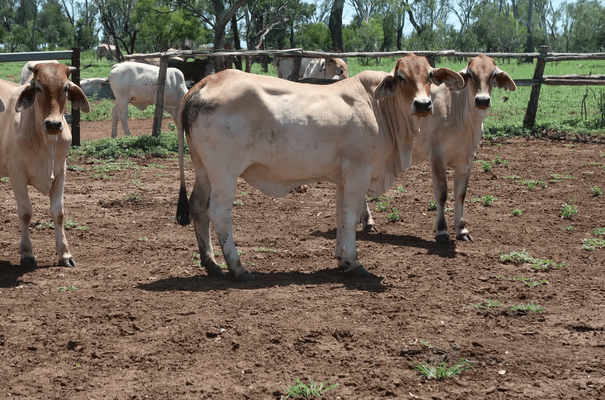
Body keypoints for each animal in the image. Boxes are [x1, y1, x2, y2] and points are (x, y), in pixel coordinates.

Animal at [0, 62, 91, 268]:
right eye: (38, 88)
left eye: (65, 88)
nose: (53, 124)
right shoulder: (16, 173)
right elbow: (26, 212)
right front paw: (27, 254)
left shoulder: (60, 171)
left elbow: (58, 212)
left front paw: (65, 255)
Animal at [175, 53, 462, 282]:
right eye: (401, 77)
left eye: (429, 75)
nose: (423, 105)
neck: (379, 108)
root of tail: (206, 82)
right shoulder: (359, 173)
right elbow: (351, 216)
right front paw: (355, 263)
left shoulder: (343, 179)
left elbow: (340, 216)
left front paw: (342, 260)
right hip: (224, 172)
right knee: (219, 212)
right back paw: (237, 268)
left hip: (203, 169)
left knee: (198, 206)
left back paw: (212, 264)